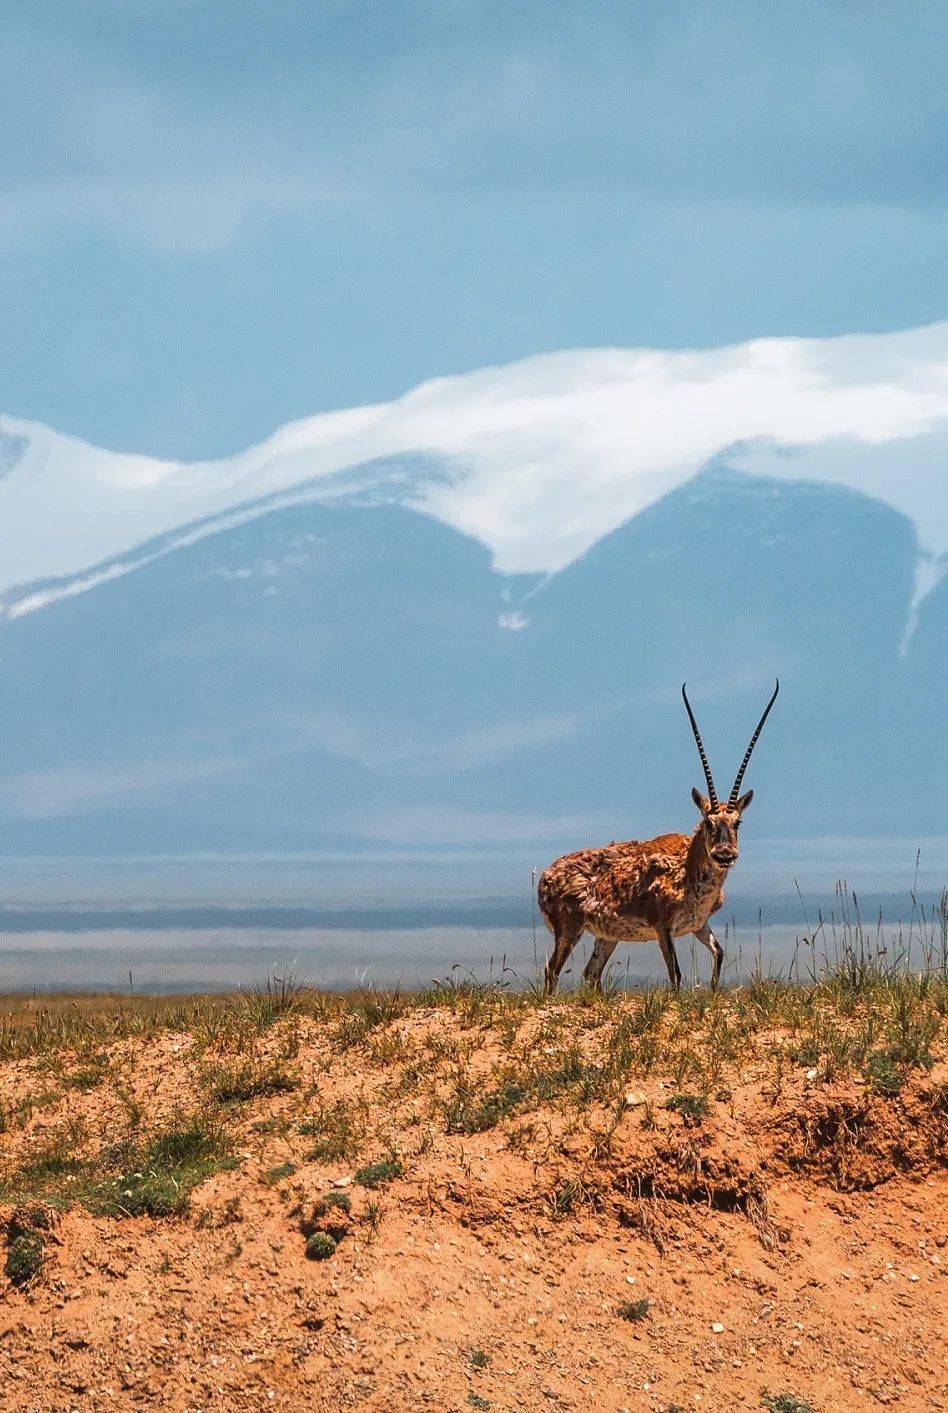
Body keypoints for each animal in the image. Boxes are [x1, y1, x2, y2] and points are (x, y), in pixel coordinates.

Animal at [536, 681, 779, 994]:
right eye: (708, 821)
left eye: (737, 822)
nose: (725, 854)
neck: (687, 869)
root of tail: (545, 876)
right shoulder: (664, 927)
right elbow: (675, 974)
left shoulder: (699, 926)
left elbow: (719, 953)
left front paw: (713, 991)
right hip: (569, 929)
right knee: (552, 970)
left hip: (607, 937)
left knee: (591, 973)